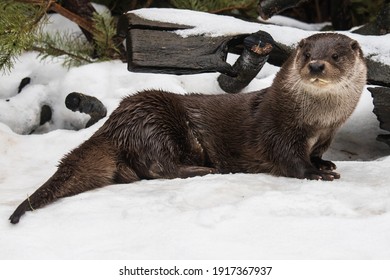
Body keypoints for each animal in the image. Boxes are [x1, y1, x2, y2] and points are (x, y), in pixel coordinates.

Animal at [9, 32, 368, 224]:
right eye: (305, 54)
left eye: (335, 55)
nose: (316, 65)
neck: (318, 120)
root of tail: (114, 123)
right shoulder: (278, 129)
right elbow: (289, 160)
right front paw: (316, 173)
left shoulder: (325, 136)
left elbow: (317, 153)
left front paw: (324, 164)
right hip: (156, 121)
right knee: (160, 167)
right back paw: (206, 169)